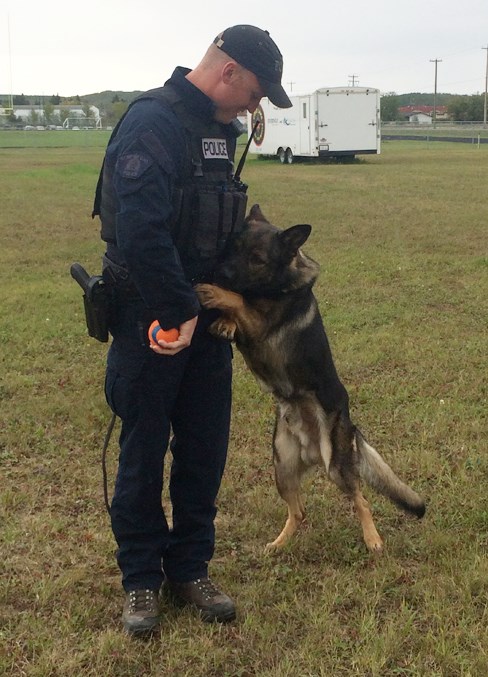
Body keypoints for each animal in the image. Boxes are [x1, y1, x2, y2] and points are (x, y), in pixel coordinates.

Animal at [194, 205, 424, 548]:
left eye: (257, 259)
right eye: (233, 247)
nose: (219, 274)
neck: (279, 283)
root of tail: (313, 448)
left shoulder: (261, 324)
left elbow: (240, 300)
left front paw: (215, 294)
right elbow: (238, 306)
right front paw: (224, 321)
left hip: (336, 468)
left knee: (362, 500)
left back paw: (372, 539)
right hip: (282, 468)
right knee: (299, 511)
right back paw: (278, 545)